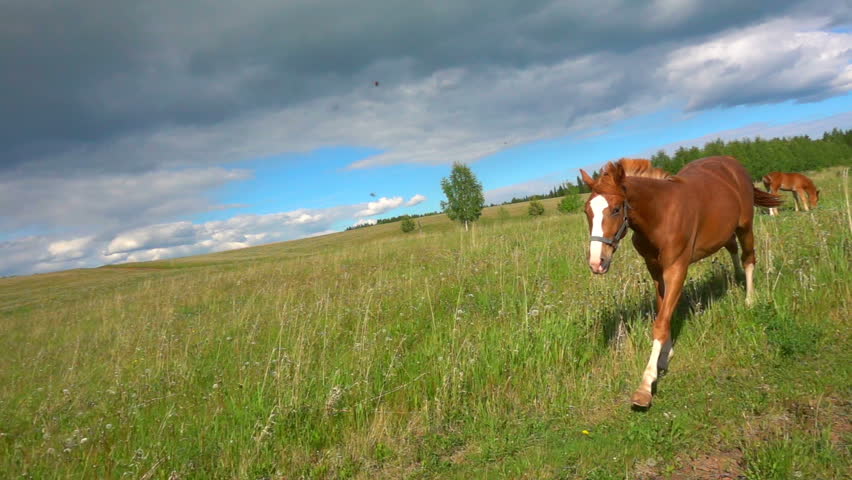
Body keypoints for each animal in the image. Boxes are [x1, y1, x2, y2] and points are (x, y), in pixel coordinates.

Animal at [579, 156, 782, 408]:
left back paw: (750, 299)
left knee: (748, 258)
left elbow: (661, 322)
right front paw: (665, 356)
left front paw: (646, 386)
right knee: (732, 247)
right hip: (725, 230)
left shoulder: (676, 269)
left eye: (616, 209)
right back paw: (735, 279)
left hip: (745, 225)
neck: (660, 215)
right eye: (587, 211)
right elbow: (663, 314)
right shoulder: (655, 271)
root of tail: (733, 163)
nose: (597, 262)